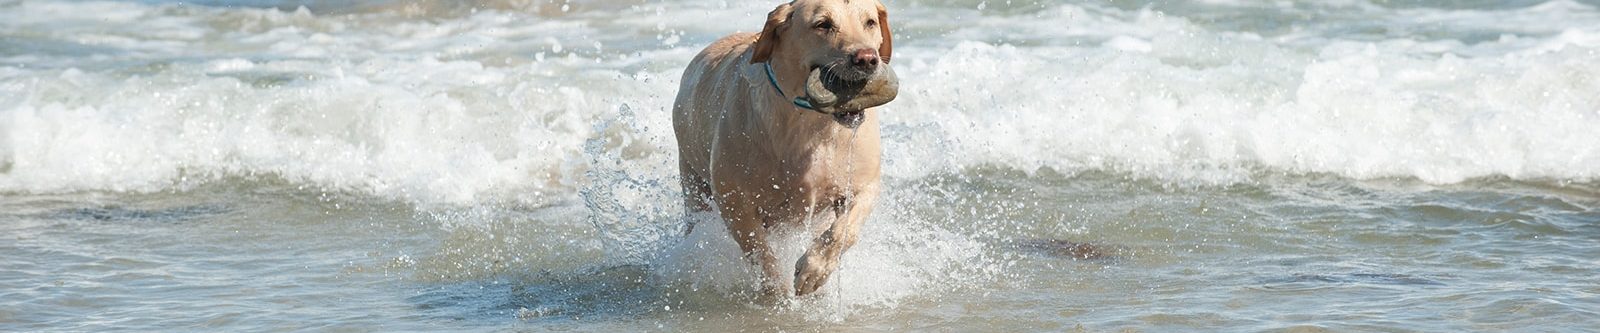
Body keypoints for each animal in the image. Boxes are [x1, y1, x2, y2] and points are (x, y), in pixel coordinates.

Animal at [672, 0, 902, 296]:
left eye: (870, 22)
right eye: (823, 24)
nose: (867, 59)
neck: (813, 124)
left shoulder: (863, 185)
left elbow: (844, 230)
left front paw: (814, 270)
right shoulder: (734, 199)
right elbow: (758, 250)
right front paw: (777, 291)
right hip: (693, 183)